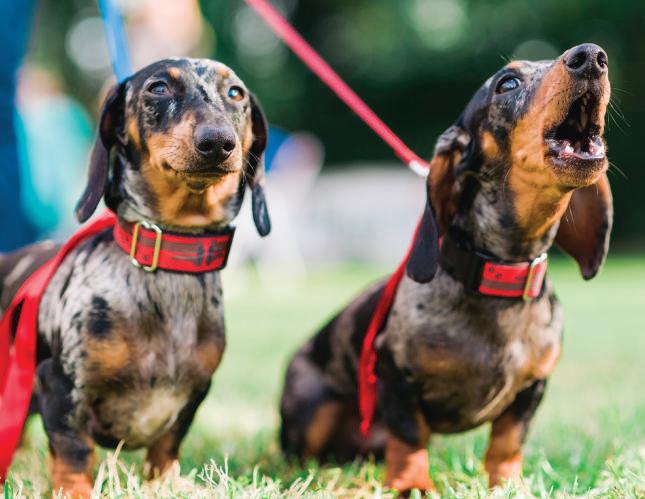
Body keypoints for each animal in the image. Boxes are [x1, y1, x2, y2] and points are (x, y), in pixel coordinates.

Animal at [0, 58, 270, 496]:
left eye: (236, 93)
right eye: (158, 88)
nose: (218, 142)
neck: (169, 267)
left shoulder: (196, 394)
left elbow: (168, 443)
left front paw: (167, 482)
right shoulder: (58, 383)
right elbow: (74, 448)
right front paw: (74, 490)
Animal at [280, 43, 612, 492]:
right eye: (507, 83)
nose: (590, 55)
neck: (497, 280)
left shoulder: (532, 388)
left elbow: (508, 444)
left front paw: (508, 485)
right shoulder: (394, 374)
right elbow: (408, 437)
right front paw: (412, 485)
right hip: (312, 411)